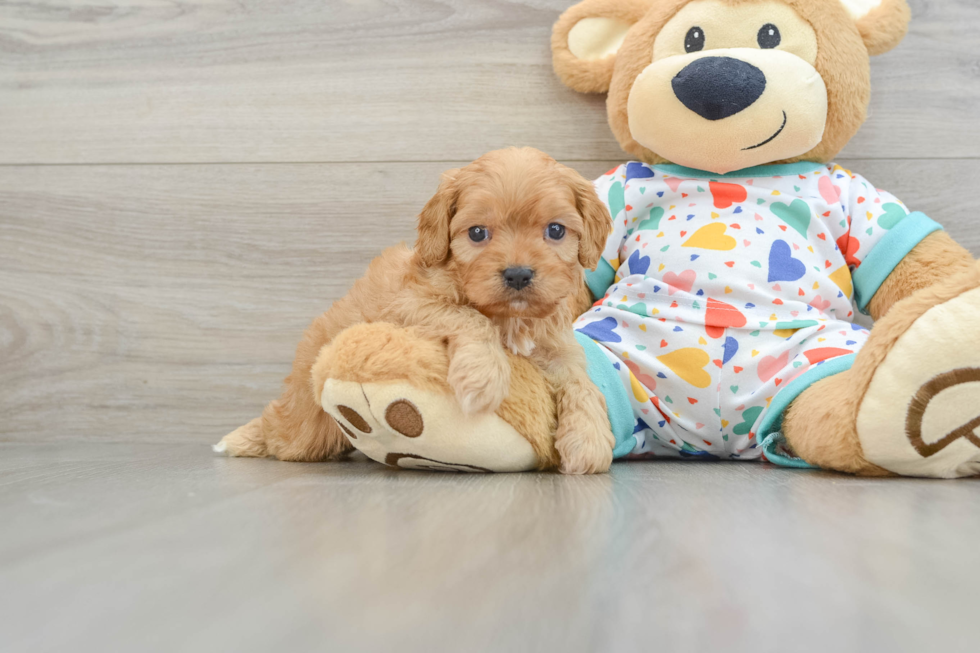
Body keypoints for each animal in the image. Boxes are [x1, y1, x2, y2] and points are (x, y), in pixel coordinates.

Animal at [219, 148, 616, 474]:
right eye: (477, 233)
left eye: (555, 230)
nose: (518, 274)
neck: (510, 317)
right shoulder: (409, 303)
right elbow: (469, 317)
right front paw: (484, 378)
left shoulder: (556, 345)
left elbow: (582, 382)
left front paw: (589, 440)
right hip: (303, 426)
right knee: (281, 427)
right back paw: (243, 438)